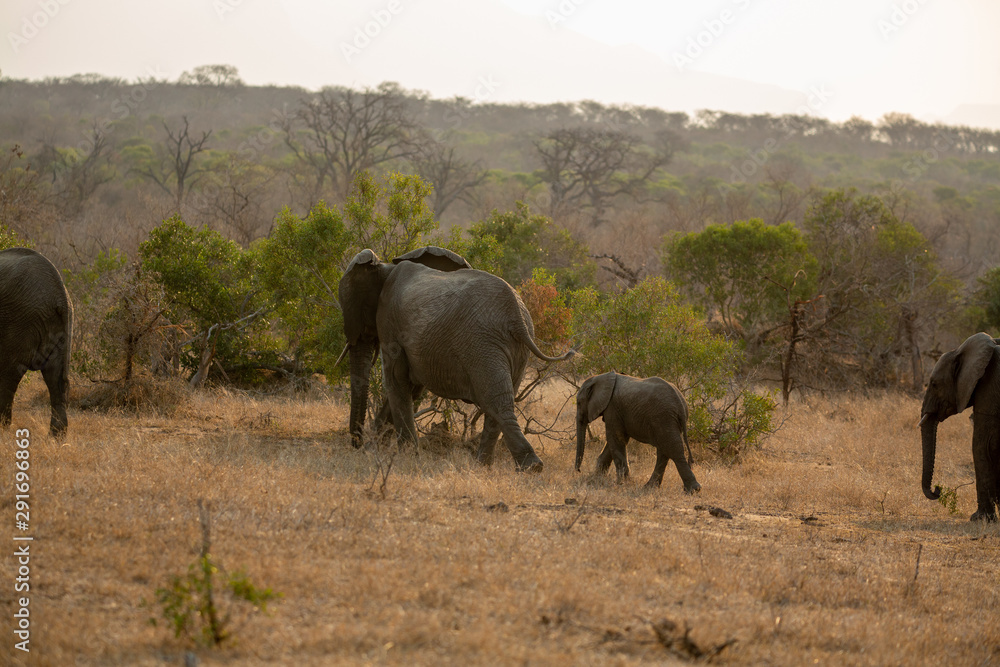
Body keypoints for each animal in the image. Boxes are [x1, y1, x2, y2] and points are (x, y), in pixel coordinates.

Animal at [0, 248, 73, 436]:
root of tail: (60, 297)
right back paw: (57, 436)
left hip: (20, 321)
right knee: (56, 378)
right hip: (58, 330)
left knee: (9, 375)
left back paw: (3, 429)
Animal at [338, 246, 575, 471]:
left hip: (481, 345)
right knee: (500, 403)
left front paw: (405, 457)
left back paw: (530, 468)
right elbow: (411, 389)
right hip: (513, 349)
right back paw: (484, 466)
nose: (358, 444)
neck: (384, 268)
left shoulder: (389, 323)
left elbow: (396, 381)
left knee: (495, 402)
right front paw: (377, 447)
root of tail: (517, 317)